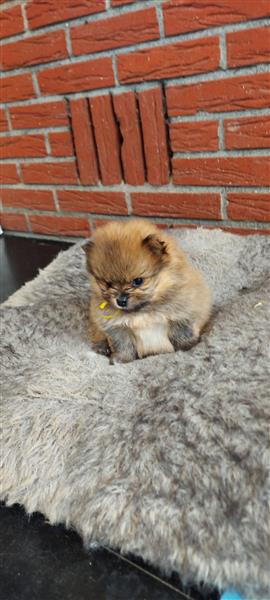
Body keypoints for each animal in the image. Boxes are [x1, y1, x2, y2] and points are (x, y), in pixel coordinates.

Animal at [83, 219, 212, 364]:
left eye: (138, 281)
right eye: (108, 284)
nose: (121, 301)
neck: (142, 311)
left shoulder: (181, 315)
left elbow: (180, 334)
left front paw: (187, 348)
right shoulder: (116, 327)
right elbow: (123, 344)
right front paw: (121, 359)